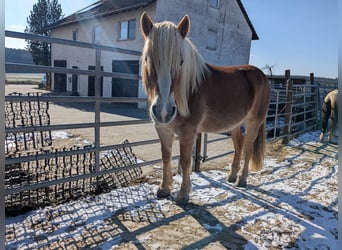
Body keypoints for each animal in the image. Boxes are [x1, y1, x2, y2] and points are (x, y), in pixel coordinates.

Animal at [140, 12, 272, 203]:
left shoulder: (188, 133)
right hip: (234, 125)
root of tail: (261, 75)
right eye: (147, 59)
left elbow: (185, 161)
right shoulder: (163, 129)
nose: (164, 112)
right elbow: (166, 157)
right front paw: (164, 189)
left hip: (253, 122)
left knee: (247, 147)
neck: (188, 91)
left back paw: (242, 179)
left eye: (181, 61)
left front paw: (183, 194)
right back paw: (232, 176)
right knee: (239, 145)